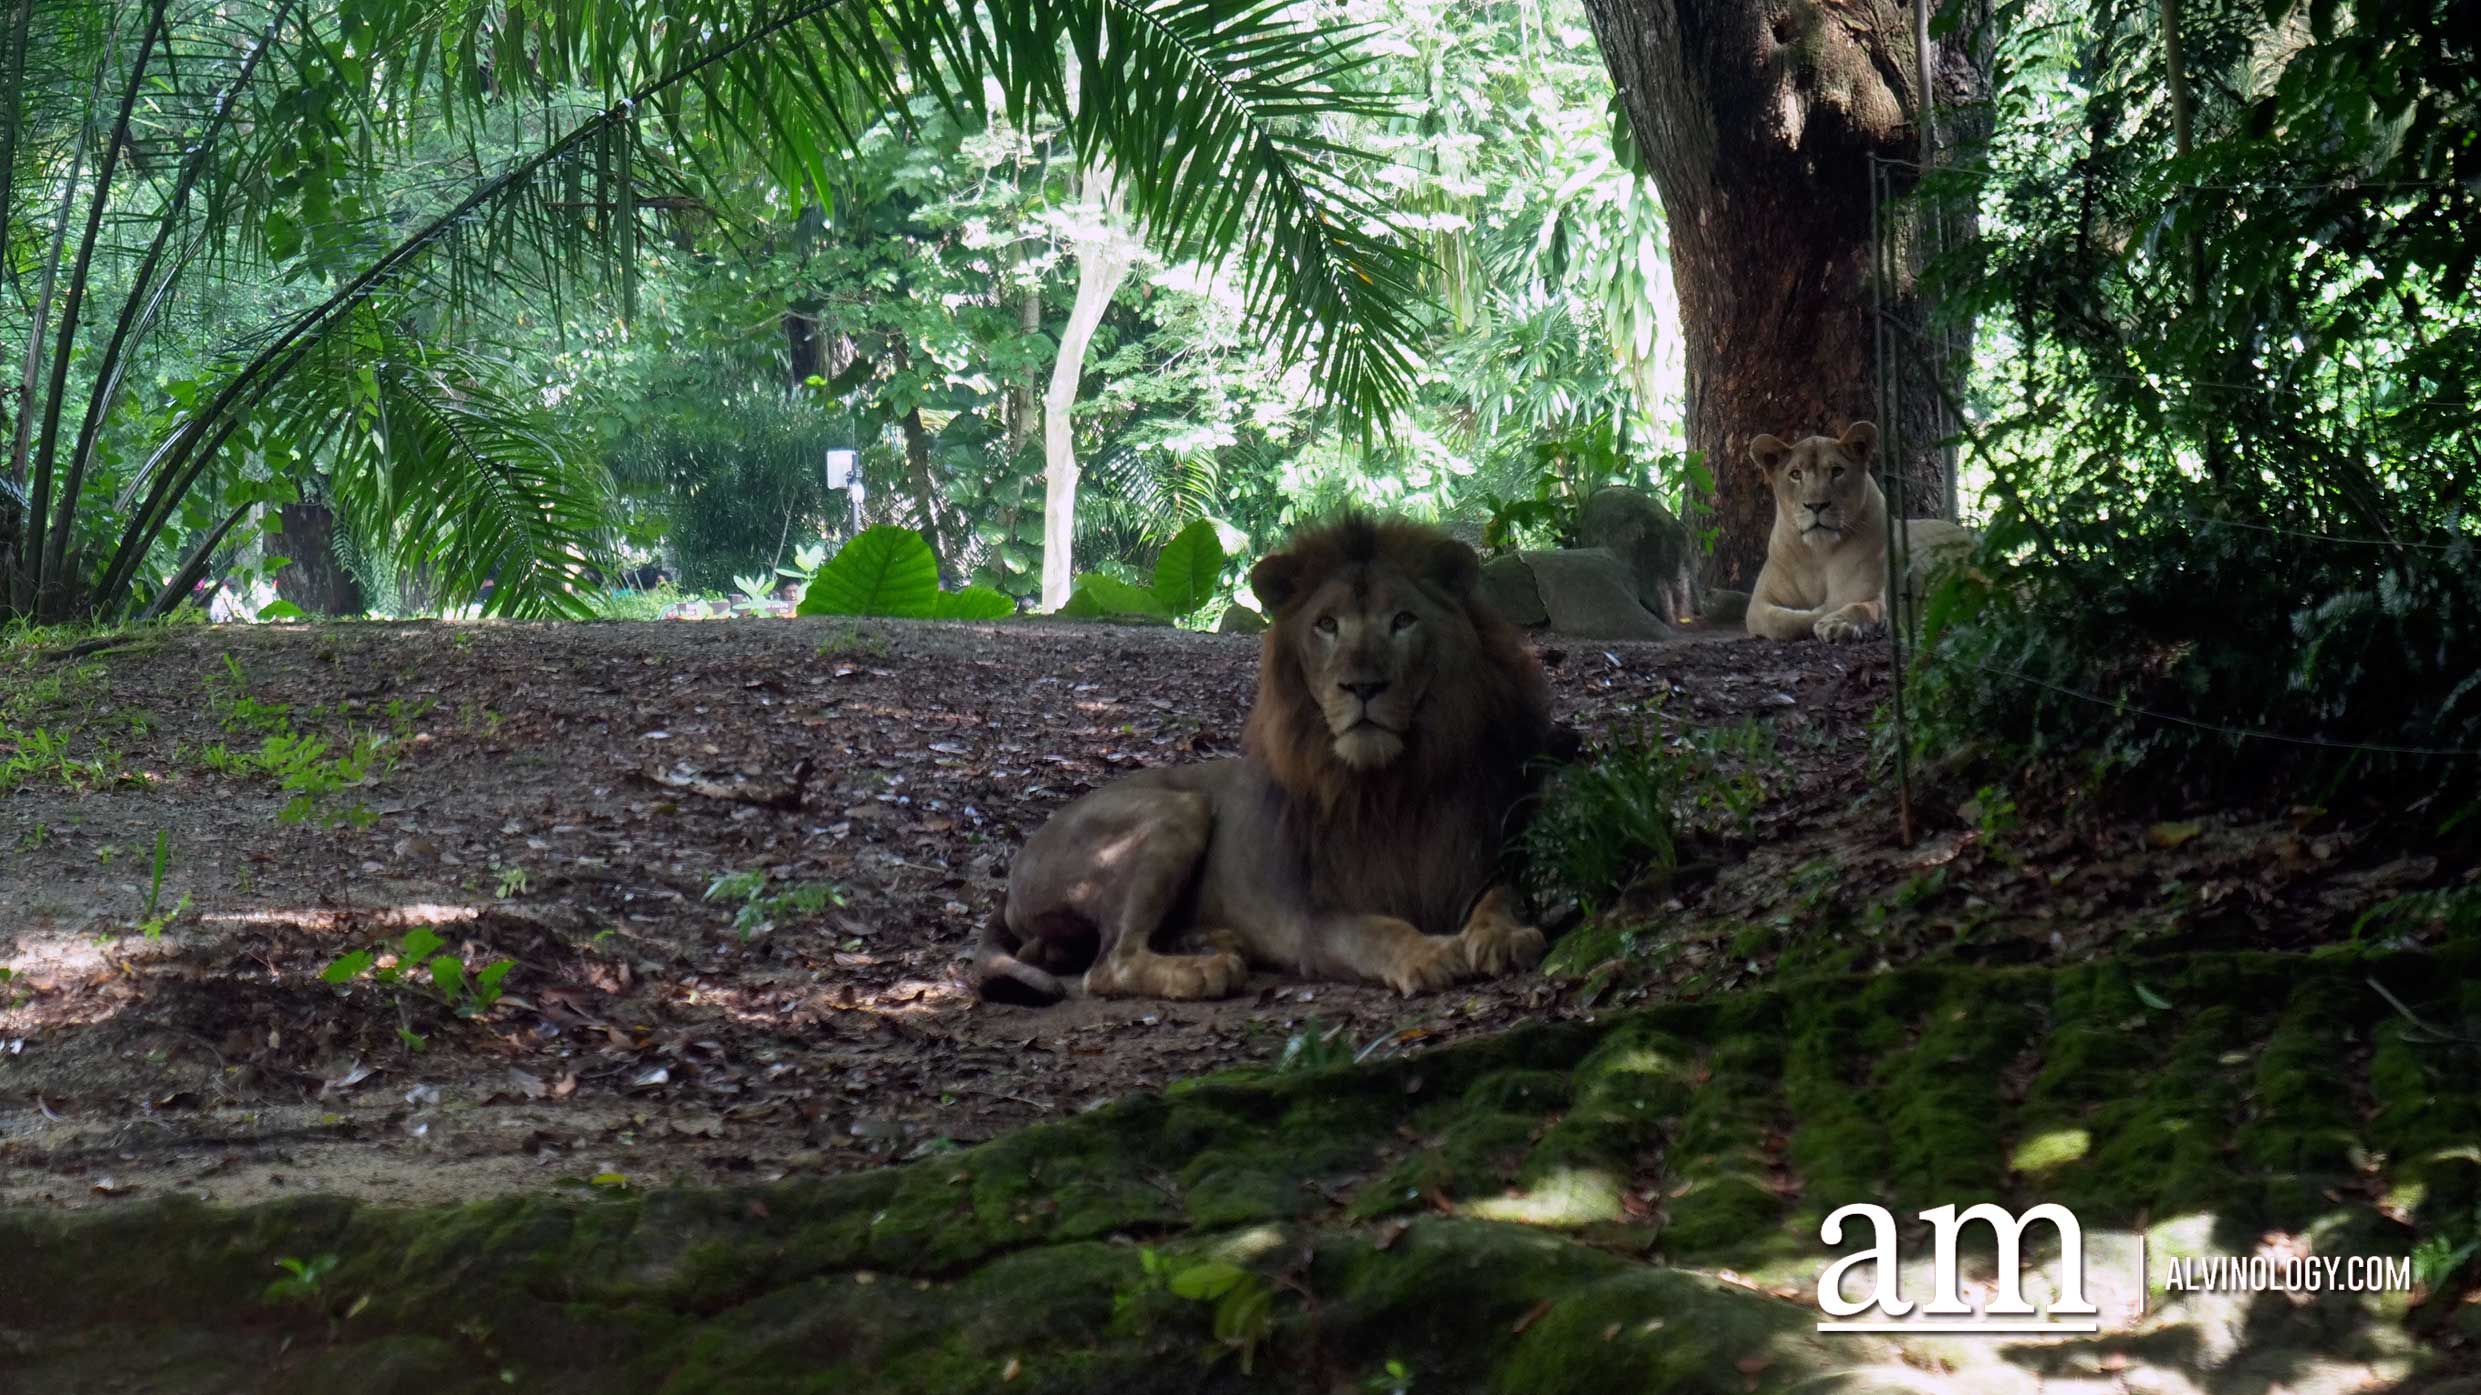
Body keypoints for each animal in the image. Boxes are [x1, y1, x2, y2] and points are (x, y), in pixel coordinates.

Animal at [974, 515, 1579, 1005]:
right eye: (1326, 625)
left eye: (1403, 620)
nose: (1362, 686)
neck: (1392, 782)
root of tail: (1017, 866)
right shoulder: (1310, 916)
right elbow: (1378, 930)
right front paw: (1428, 954)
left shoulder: (1486, 854)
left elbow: (1503, 895)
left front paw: (1502, 936)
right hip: (1176, 810)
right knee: (1108, 964)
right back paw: (1205, 969)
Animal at [1741, 421, 1974, 643]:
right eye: (1795, 474)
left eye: (1837, 471)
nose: (1816, 505)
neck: (1818, 553)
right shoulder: (1759, 604)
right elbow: (1782, 622)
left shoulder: (1871, 594)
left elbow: (1859, 607)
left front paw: (1837, 624)